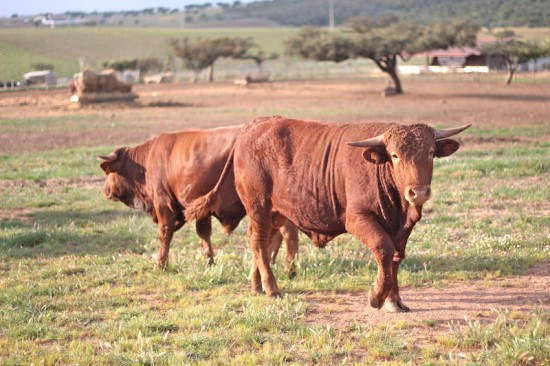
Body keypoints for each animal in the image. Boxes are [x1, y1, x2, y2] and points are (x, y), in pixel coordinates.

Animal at [97, 126, 300, 272]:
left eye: (108, 172)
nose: (105, 191)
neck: (145, 163)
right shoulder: (201, 209)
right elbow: (204, 233)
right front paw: (209, 261)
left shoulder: (164, 205)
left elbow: (165, 234)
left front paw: (160, 264)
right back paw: (272, 262)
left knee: (288, 232)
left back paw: (289, 268)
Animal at [185, 116, 470, 312]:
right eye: (395, 155)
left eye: (430, 153)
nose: (418, 192)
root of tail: (254, 126)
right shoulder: (359, 220)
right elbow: (384, 250)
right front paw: (376, 296)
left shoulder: (402, 230)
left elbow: (395, 259)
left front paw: (394, 300)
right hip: (259, 208)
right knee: (258, 242)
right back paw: (271, 288)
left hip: (276, 213)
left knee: (263, 243)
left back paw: (256, 285)